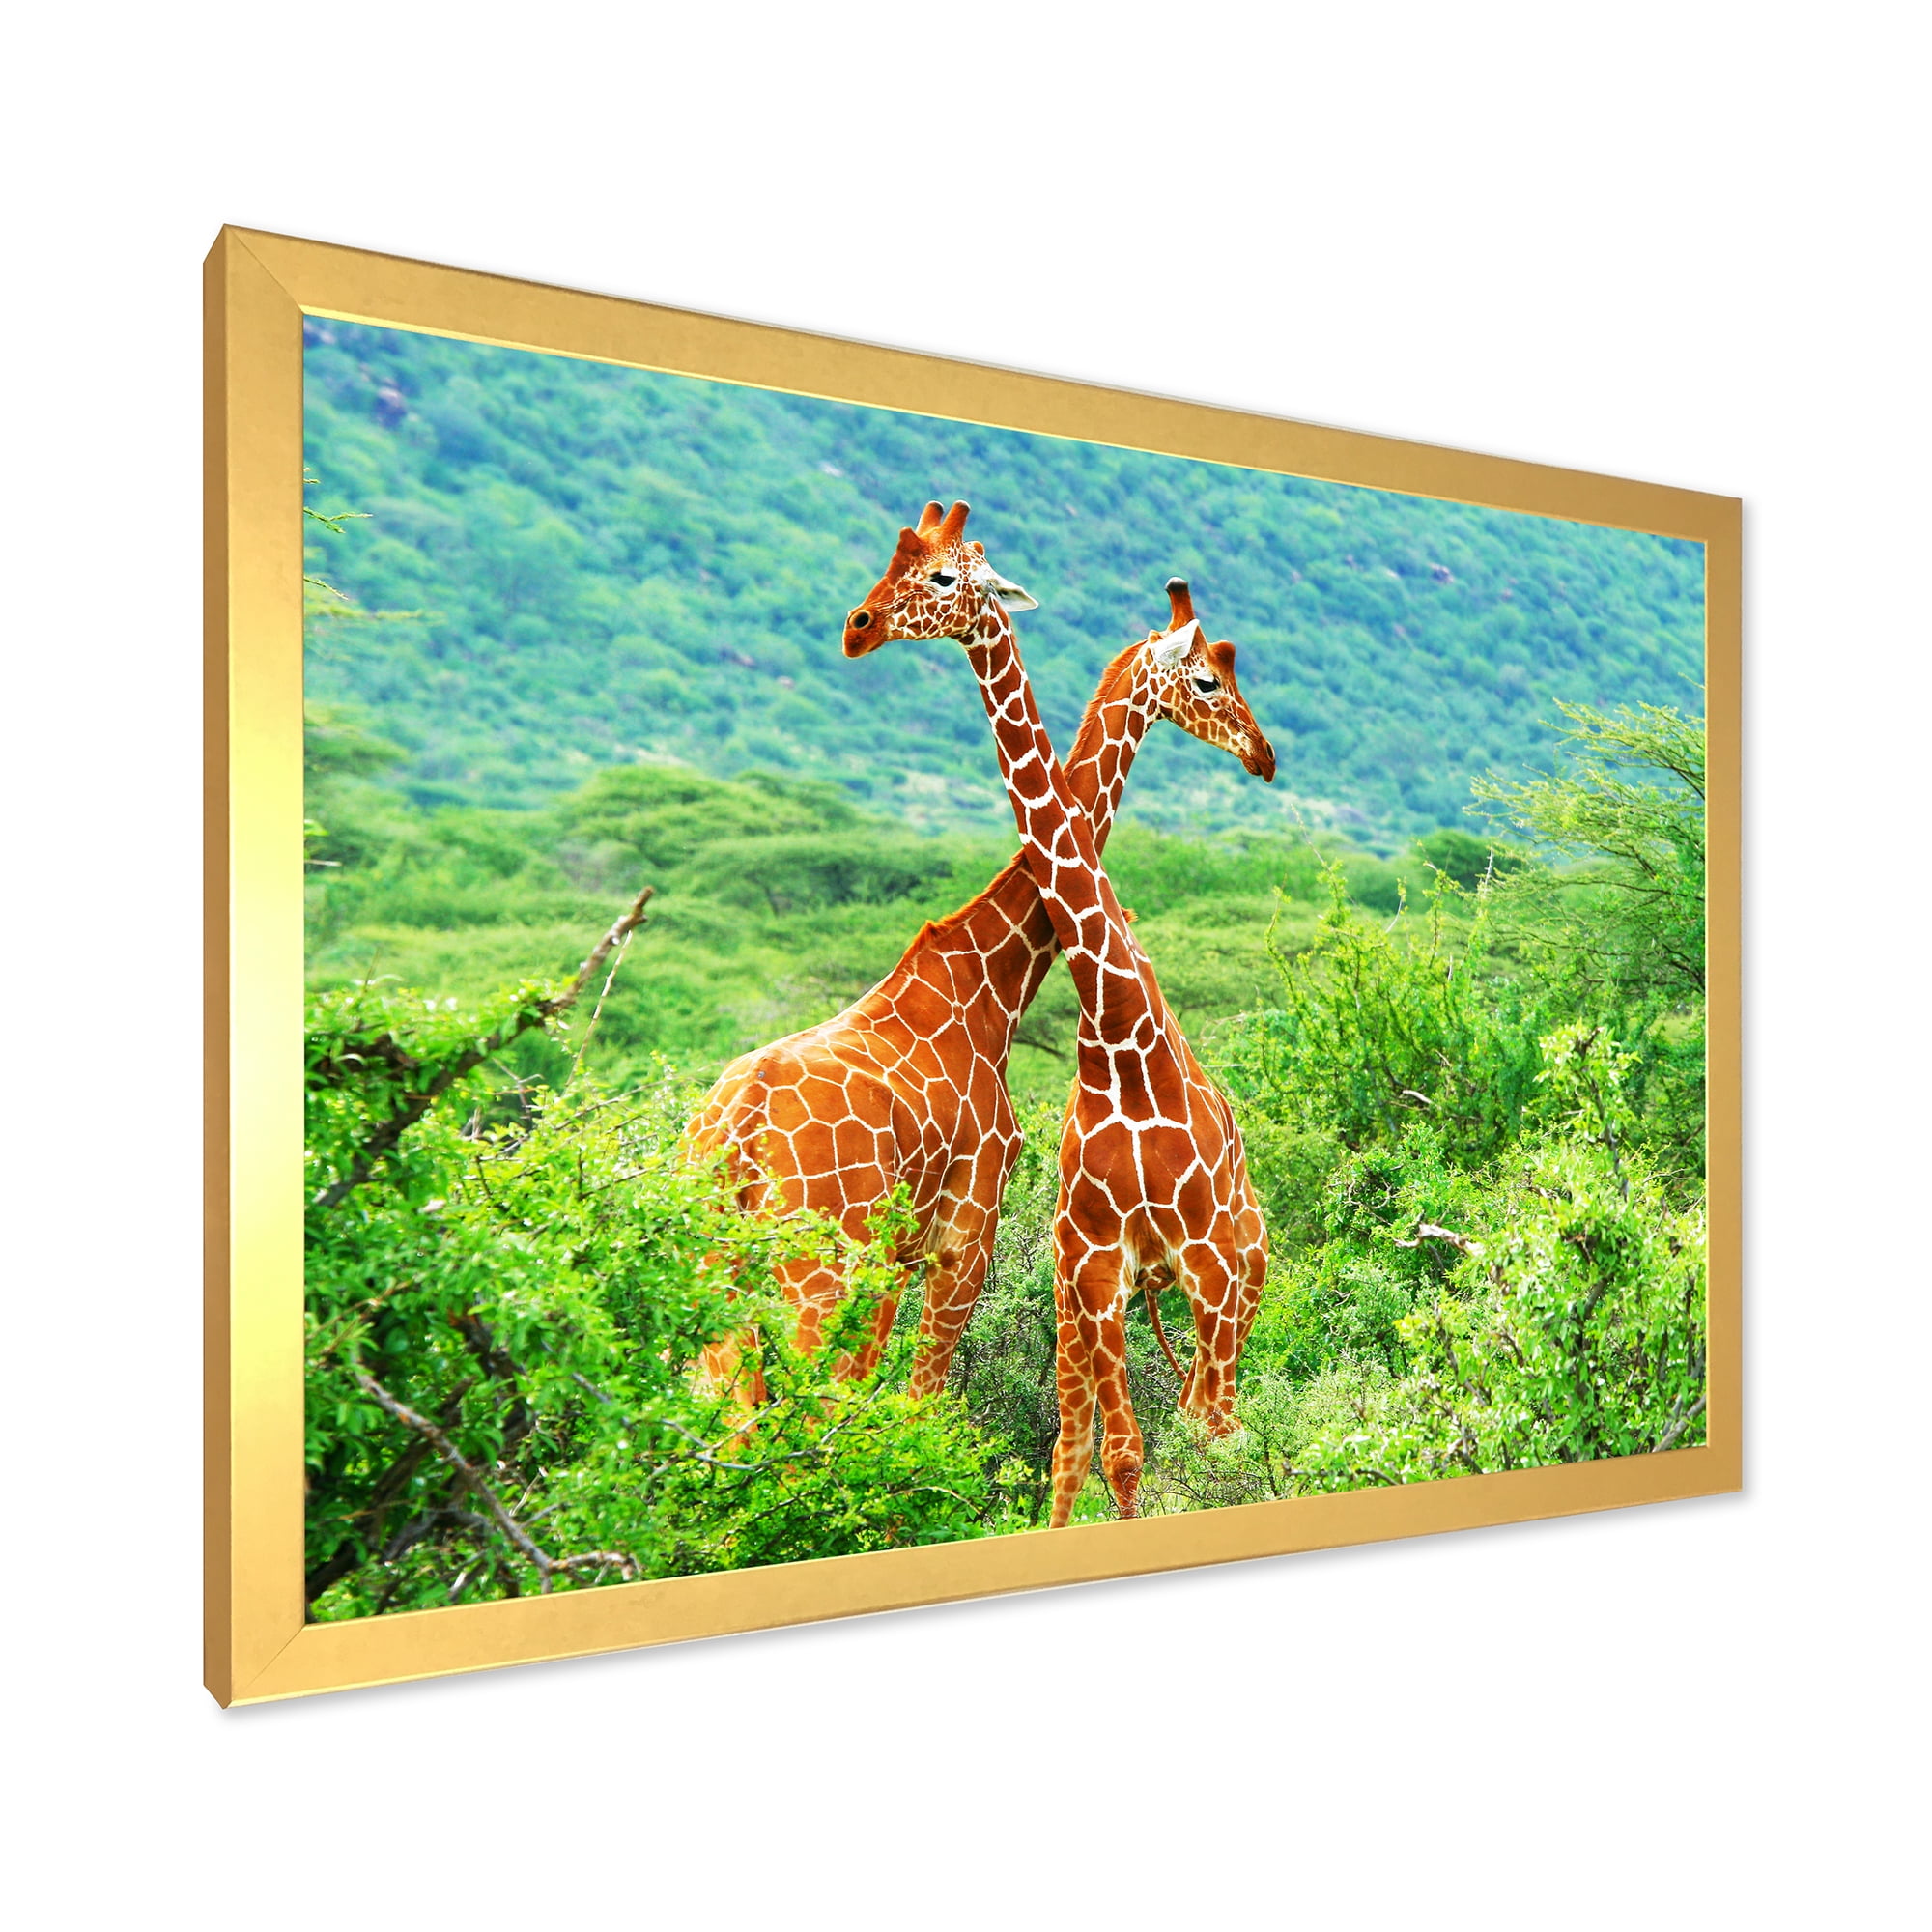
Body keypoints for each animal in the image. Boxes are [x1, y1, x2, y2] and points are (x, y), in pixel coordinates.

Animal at [686, 500, 1273, 1405]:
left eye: (935, 571)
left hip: (718, 1268)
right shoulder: (966, 1234)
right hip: (814, 1267)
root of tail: (735, 1132)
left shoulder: (904, 1254)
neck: (992, 977)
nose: (1262, 752)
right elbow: (915, 1403)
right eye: (1209, 679)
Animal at [844, 502, 1271, 1527]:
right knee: (1086, 1443)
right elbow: (1117, 1453)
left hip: (1240, 1276)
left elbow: (1190, 1439)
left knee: (1222, 1420)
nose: (1265, 756)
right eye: (1210, 677)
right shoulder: (1095, 1267)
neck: (1120, 1039)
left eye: (943, 575)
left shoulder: (1203, 1264)